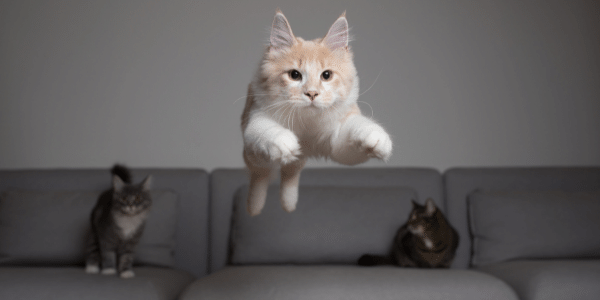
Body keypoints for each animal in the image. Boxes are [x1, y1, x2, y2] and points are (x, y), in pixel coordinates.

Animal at [239, 9, 394, 216]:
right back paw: (254, 207)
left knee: (291, 172)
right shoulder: (256, 121)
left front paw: (377, 138)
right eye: (294, 75)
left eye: (326, 75)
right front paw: (283, 141)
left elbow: (360, 126)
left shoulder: (338, 145)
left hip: (296, 161)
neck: (307, 127)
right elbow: (267, 131)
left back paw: (289, 205)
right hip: (254, 157)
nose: (312, 93)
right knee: (261, 176)